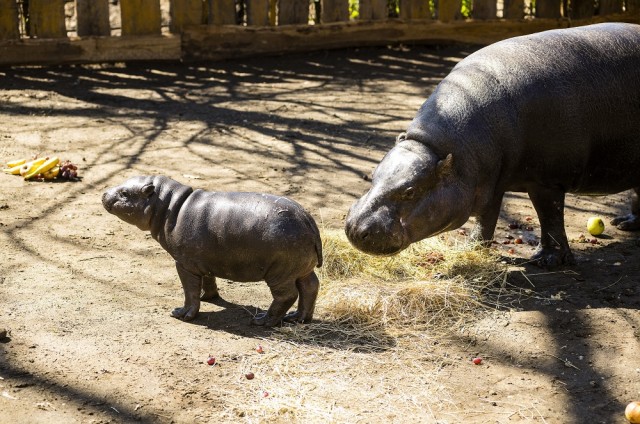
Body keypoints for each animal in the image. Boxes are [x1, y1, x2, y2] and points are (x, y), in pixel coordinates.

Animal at [102, 176, 322, 326]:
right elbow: (208, 280)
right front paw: (206, 297)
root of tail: (308, 220)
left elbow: (189, 290)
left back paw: (262, 321)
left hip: (280, 273)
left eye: (125, 193)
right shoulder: (206, 260)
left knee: (287, 295)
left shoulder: (185, 264)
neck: (166, 206)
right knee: (310, 286)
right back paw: (297, 318)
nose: (104, 193)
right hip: (300, 269)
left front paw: (181, 314)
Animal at [345, 23, 640, 268]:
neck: (445, 150)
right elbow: (486, 217)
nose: (354, 227)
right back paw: (624, 224)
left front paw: (546, 260)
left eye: (409, 191)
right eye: (373, 174)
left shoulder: (547, 181)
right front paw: (472, 247)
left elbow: (550, 217)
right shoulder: (487, 181)